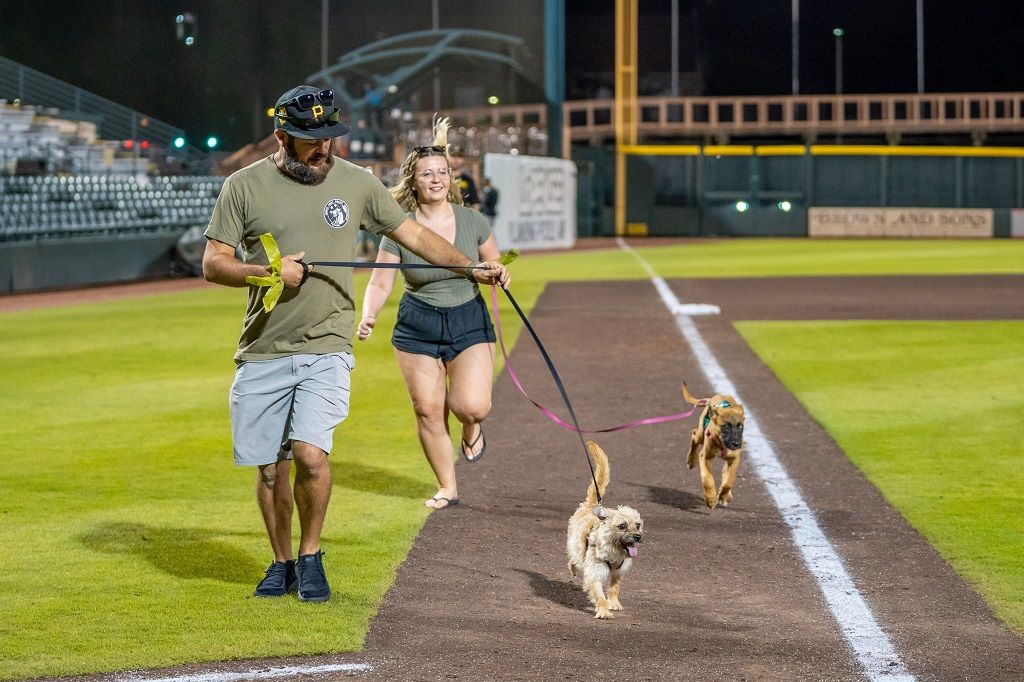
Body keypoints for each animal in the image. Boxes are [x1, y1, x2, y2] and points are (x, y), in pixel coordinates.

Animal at [565, 438, 643, 618]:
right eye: (622, 526)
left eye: (638, 525)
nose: (637, 537)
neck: (613, 550)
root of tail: (592, 505)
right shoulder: (594, 573)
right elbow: (600, 595)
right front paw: (604, 611)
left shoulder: (618, 573)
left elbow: (614, 589)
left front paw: (613, 603)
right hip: (576, 546)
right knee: (574, 559)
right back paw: (573, 568)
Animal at [684, 378, 749, 507]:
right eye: (726, 426)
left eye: (740, 426)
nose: (736, 444)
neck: (722, 444)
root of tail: (711, 399)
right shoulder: (705, 457)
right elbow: (707, 479)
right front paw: (711, 498)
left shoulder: (734, 459)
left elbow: (729, 480)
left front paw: (723, 495)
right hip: (700, 435)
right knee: (694, 434)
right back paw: (691, 460)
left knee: (725, 473)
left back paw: (726, 495)